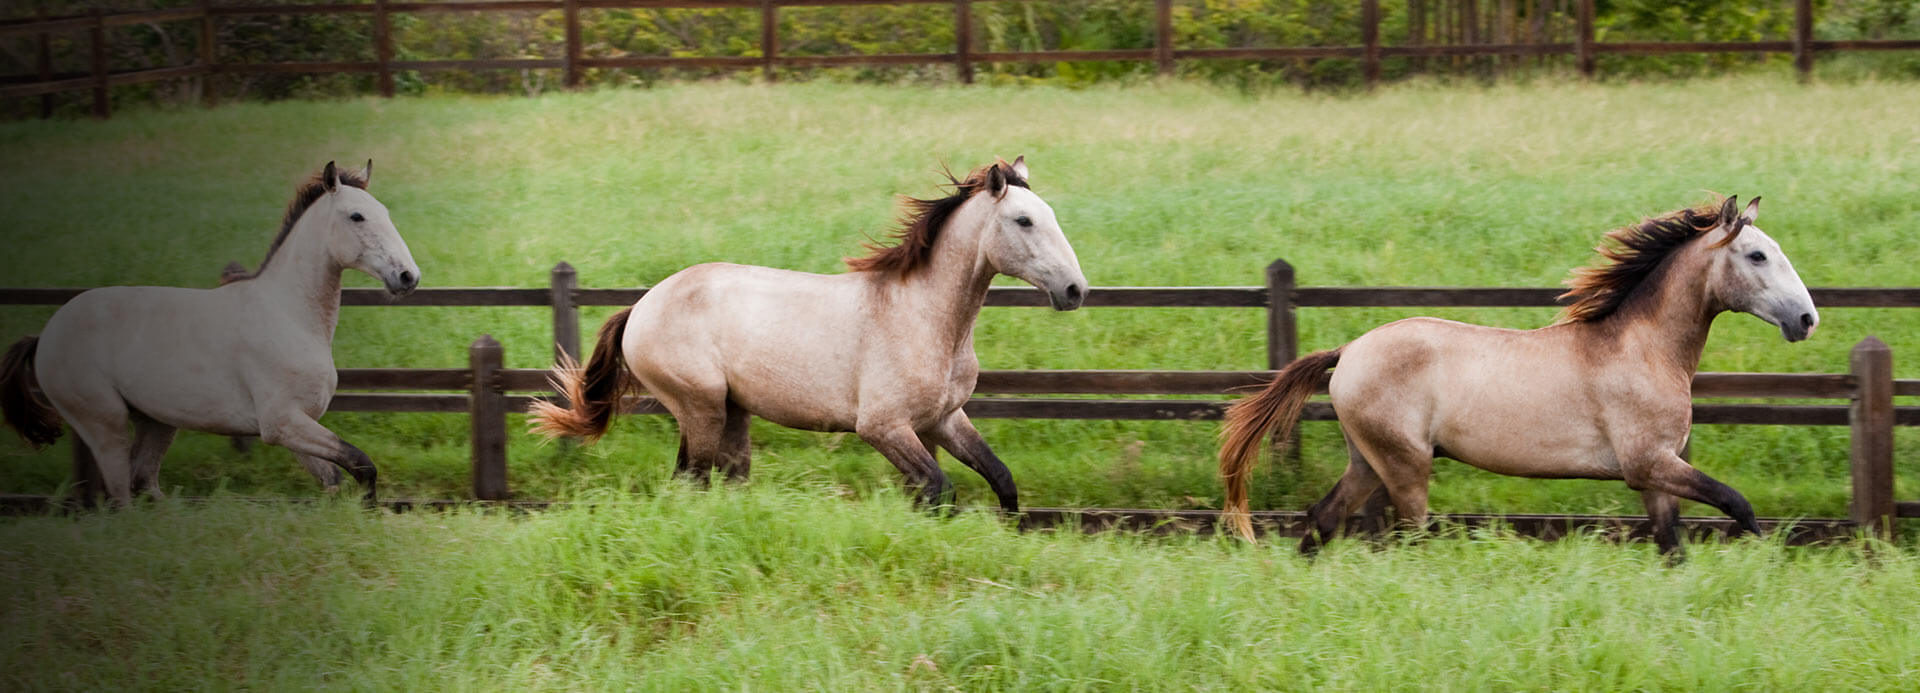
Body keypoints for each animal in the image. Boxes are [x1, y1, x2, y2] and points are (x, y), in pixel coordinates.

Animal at [0, 161, 420, 505]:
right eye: (357, 216)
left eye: (384, 212)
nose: (407, 277)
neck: (288, 315)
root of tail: (44, 337)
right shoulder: (281, 423)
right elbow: (362, 465)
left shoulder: (296, 426)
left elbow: (335, 480)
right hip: (105, 424)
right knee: (121, 495)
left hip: (156, 422)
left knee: (144, 482)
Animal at [530, 157, 1087, 512]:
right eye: (1024, 220)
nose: (1075, 290)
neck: (924, 317)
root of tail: (642, 306)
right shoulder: (883, 427)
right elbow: (938, 491)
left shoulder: (943, 419)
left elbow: (1000, 479)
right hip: (699, 407)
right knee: (690, 481)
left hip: (734, 411)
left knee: (728, 480)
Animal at [1219, 196, 1817, 558]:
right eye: (1757, 255)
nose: (1807, 319)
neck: (1642, 349)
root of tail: (1349, 352)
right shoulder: (1648, 463)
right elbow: (1737, 503)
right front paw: (1766, 555)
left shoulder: (1657, 474)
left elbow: (1673, 546)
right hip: (1405, 465)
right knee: (1409, 538)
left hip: (1369, 460)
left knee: (1323, 518)